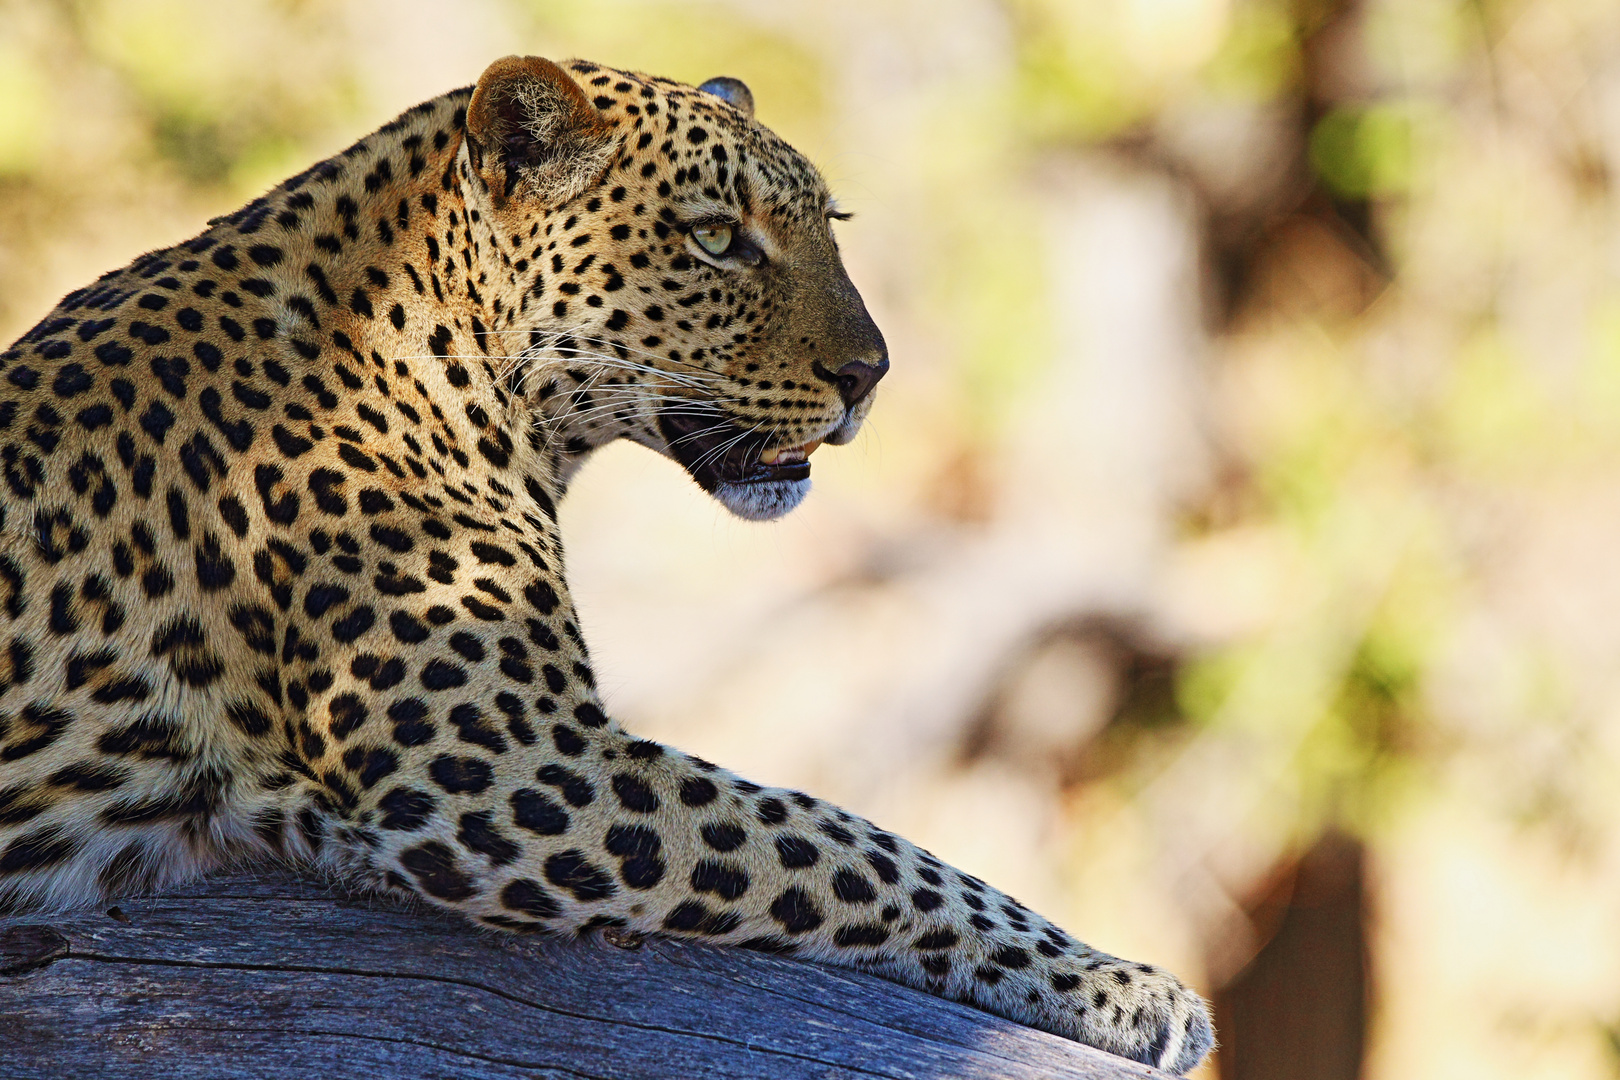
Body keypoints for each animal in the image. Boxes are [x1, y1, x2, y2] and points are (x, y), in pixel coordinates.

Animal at [0, 57, 1218, 1075]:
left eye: (831, 226)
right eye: (718, 239)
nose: (871, 374)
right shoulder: (509, 765)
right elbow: (850, 846)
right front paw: (1125, 987)